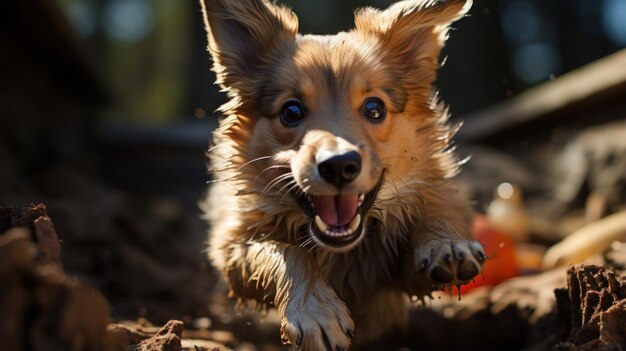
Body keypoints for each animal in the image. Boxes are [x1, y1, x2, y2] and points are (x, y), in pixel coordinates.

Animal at [199, 0, 482, 350]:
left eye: (374, 108)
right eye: (291, 112)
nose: (337, 164)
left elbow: (430, 219)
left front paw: (444, 243)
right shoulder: (232, 246)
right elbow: (288, 251)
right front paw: (313, 310)